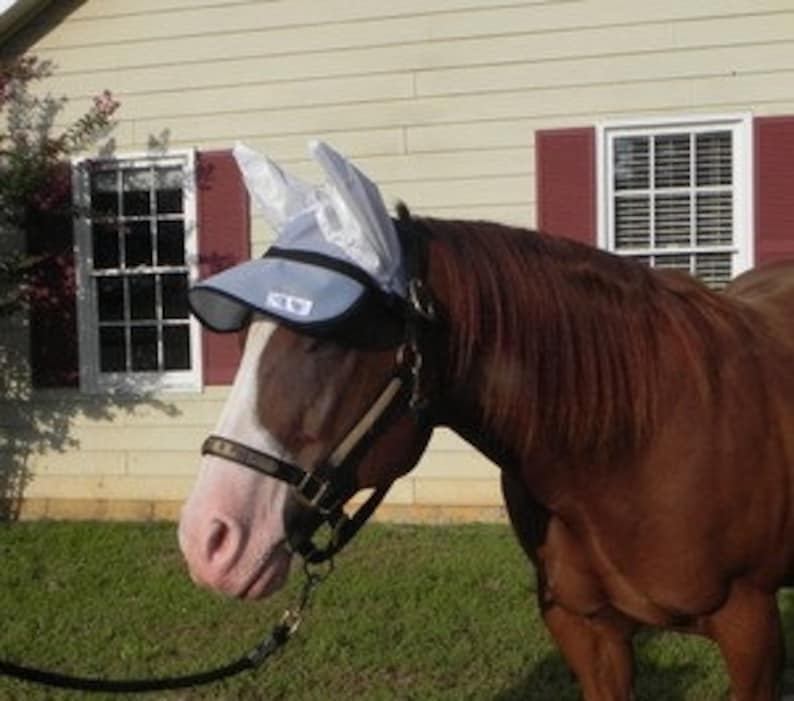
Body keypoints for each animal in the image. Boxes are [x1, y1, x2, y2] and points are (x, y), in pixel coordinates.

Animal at [179, 146, 794, 700]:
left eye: (326, 340)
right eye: (246, 337)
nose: (209, 539)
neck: (632, 447)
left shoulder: (750, 629)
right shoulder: (587, 631)